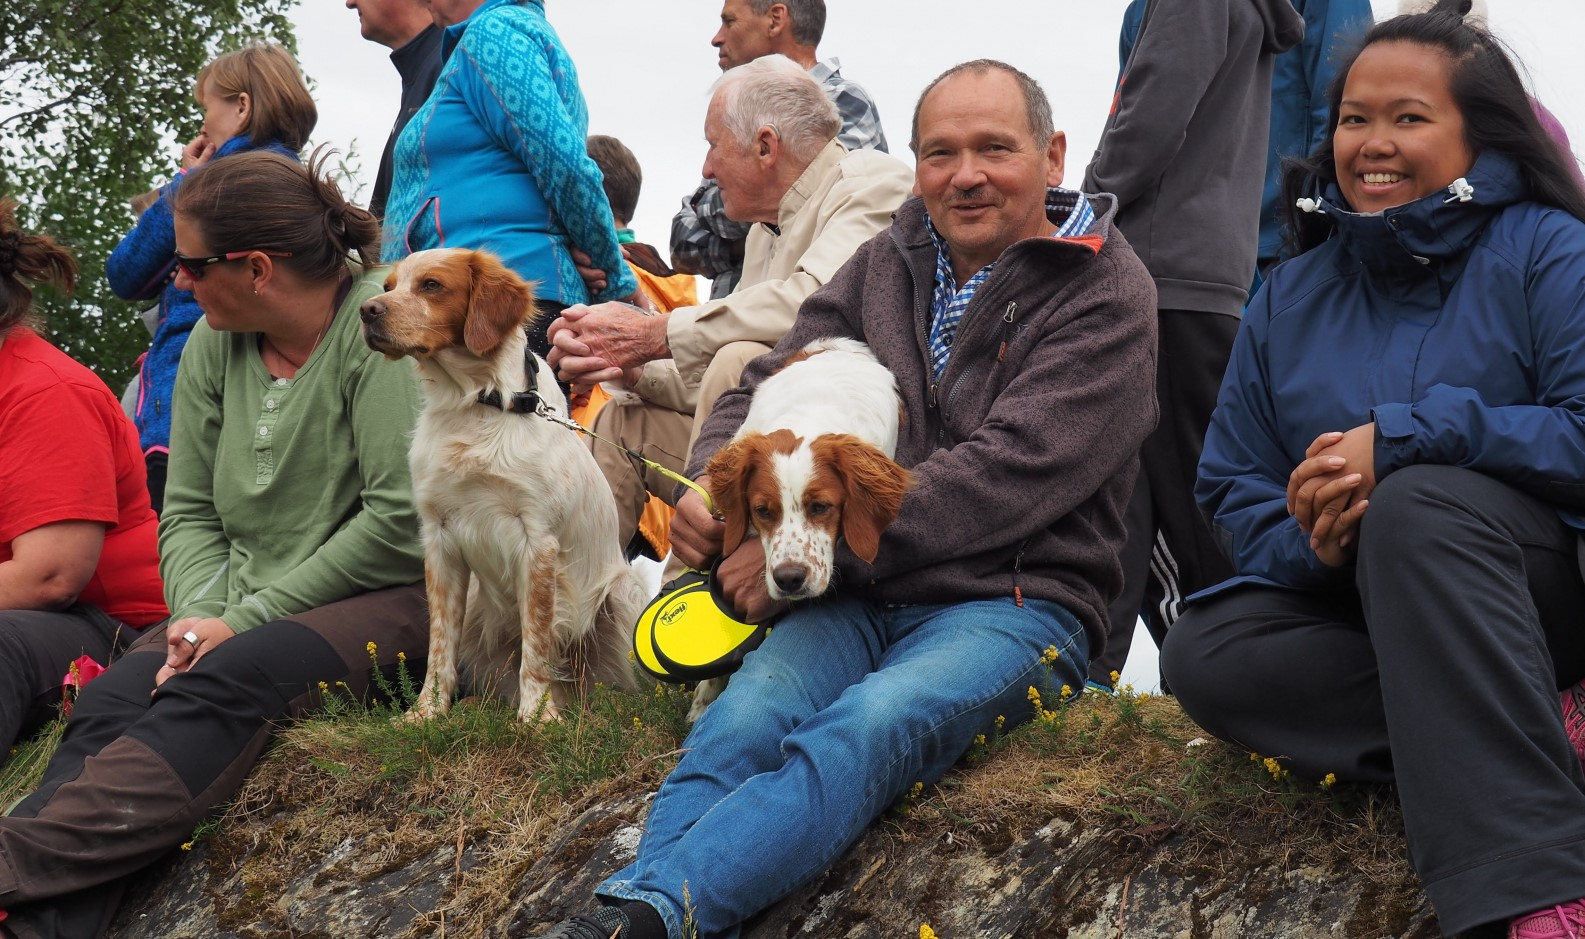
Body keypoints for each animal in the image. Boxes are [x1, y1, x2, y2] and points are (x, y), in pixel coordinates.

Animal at [362, 247, 646, 720]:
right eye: (388, 287)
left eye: (431, 285)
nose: (367, 311)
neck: (478, 403)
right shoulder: (439, 538)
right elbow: (440, 645)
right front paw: (427, 712)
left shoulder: (538, 540)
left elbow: (537, 645)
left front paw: (537, 718)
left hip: (624, 592)